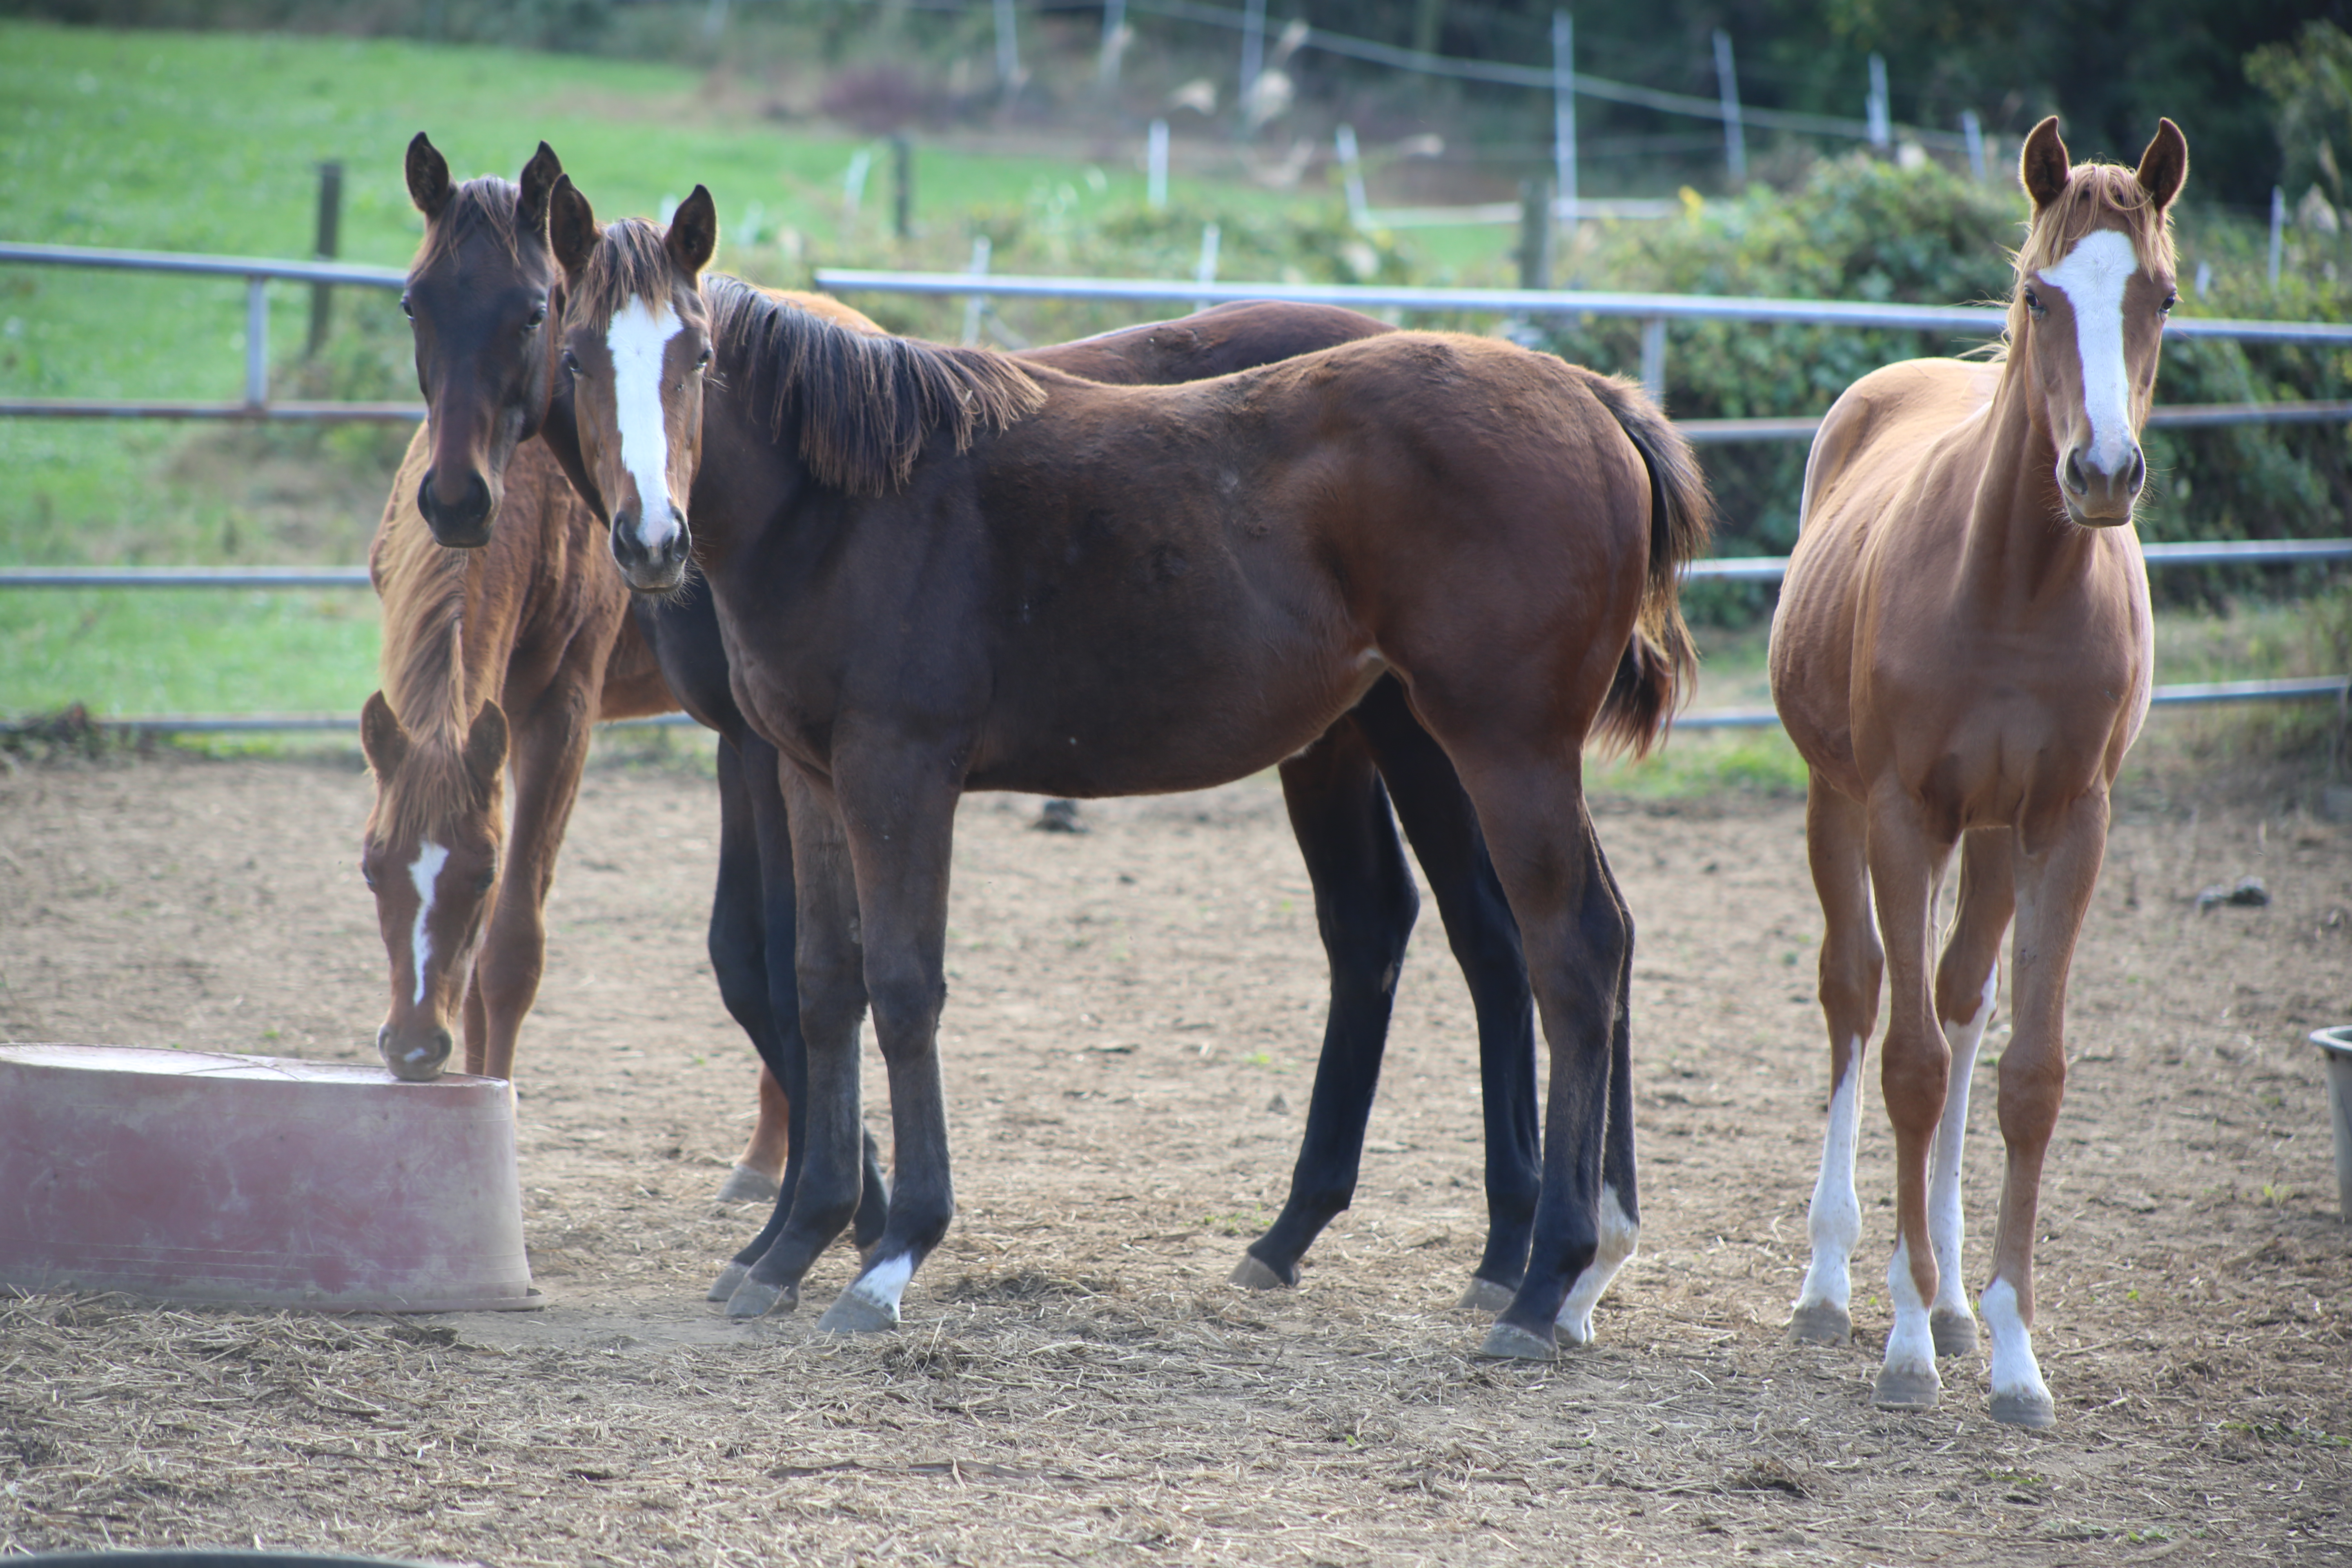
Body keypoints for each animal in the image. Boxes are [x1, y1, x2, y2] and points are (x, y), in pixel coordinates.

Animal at [1768, 116, 2173, 1429]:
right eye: (2040, 293)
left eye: (2159, 294)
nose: (2100, 474)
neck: (2010, 585)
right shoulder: (1901, 813)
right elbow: (1903, 1062)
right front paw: (1900, 1345)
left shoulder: (2067, 824)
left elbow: (2022, 1074)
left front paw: (2007, 1349)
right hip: (1839, 804)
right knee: (1859, 995)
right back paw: (1838, 1281)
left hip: (1991, 837)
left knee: (1959, 999)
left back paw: (1947, 1293)